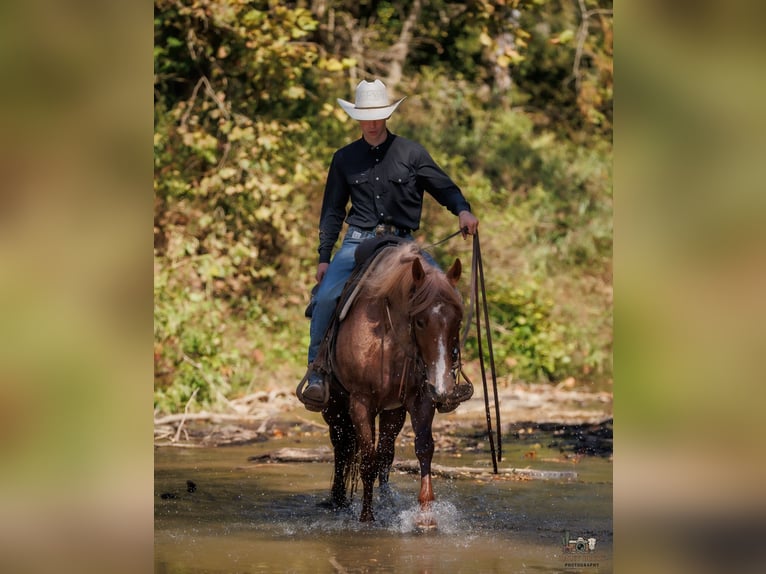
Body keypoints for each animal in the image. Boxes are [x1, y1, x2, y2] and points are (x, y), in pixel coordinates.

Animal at [320, 241, 463, 526]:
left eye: (458, 321)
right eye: (420, 321)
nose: (442, 388)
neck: (387, 337)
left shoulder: (421, 399)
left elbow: (424, 449)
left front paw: (426, 516)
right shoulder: (360, 403)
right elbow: (367, 459)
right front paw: (366, 517)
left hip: (392, 412)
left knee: (385, 453)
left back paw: (385, 500)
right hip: (335, 409)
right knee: (341, 448)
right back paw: (338, 500)